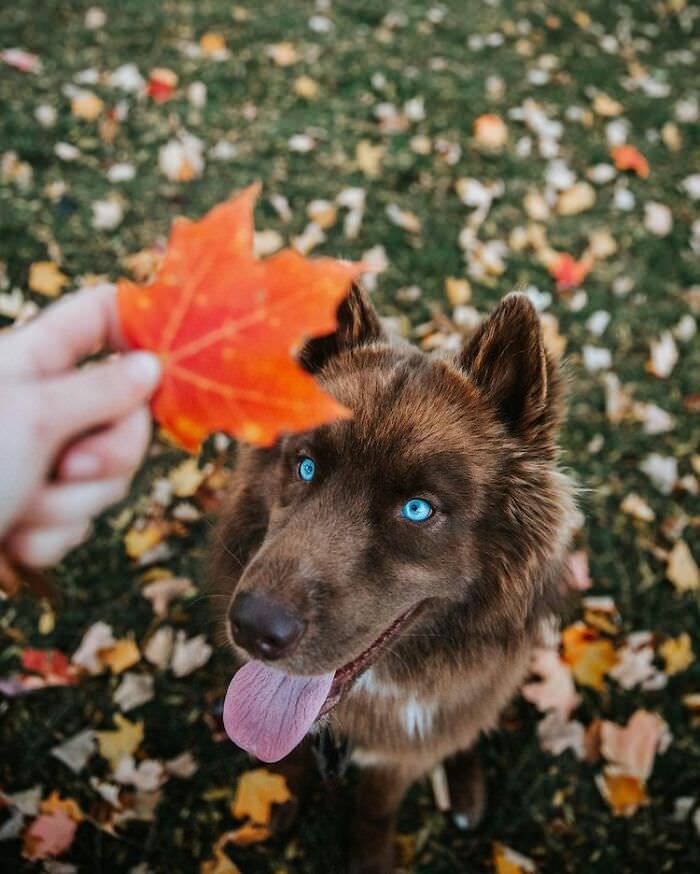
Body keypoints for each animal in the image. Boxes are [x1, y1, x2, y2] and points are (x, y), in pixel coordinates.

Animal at [211, 288, 576, 872]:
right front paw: (278, 802)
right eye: (306, 466)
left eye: (417, 509)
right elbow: (290, 765)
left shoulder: (404, 750)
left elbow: (377, 807)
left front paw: (369, 855)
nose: (252, 629)